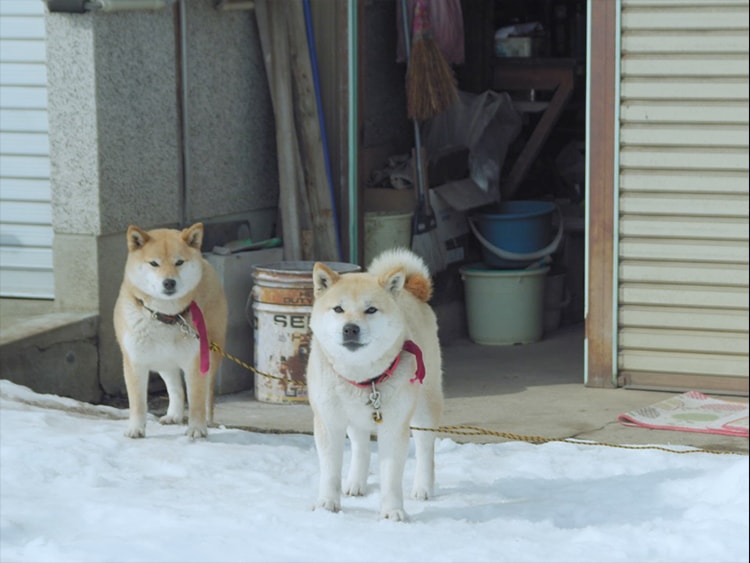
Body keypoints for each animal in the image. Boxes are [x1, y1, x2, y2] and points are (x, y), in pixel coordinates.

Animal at [113, 224, 228, 440]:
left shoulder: (196, 361)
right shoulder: (135, 361)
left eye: (179, 262)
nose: (169, 282)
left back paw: (207, 420)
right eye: (154, 263)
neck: (165, 317)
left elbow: (196, 400)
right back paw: (174, 415)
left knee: (206, 394)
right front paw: (136, 429)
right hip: (163, 361)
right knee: (176, 389)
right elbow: (137, 403)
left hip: (210, 353)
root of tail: (205, 261)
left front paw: (197, 429)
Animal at [306, 249, 444, 524]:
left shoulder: (394, 426)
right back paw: (355, 483)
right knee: (360, 446)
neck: (362, 377)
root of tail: (412, 291)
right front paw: (327, 504)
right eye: (338, 309)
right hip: (354, 417)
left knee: (425, 448)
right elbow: (330, 471)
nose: (350, 328)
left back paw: (423, 487)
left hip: (425, 405)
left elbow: (391, 476)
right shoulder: (329, 421)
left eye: (371, 310)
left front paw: (393, 512)